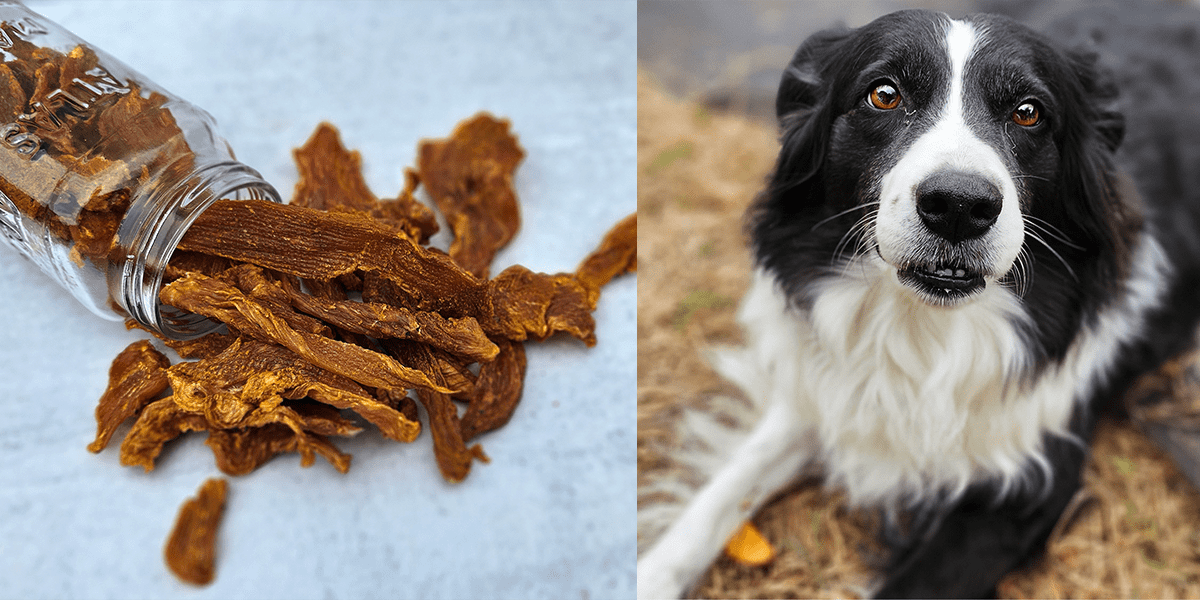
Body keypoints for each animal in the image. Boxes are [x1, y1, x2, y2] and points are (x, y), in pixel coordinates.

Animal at [643, 5, 1200, 600]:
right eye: (884, 95)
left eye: (1029, 112)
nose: (958, 205)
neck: (923, 326)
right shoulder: (827, 390)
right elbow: (725, 491)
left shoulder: (1028, 489)